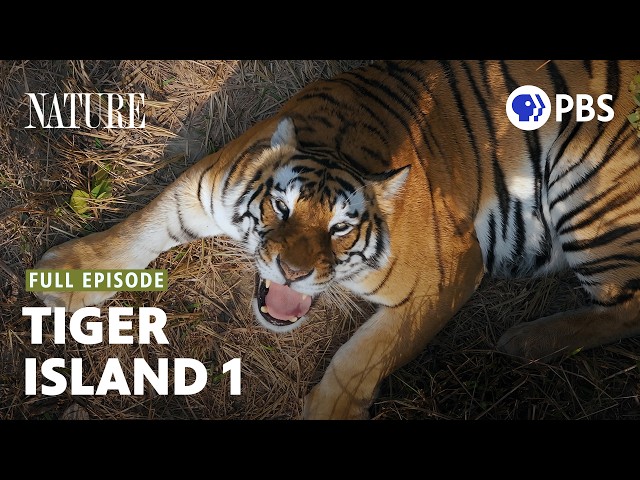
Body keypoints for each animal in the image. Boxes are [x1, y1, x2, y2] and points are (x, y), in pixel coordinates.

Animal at [34, 60, 640, 420]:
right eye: (280, 208)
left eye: (341, 229)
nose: (293, 273)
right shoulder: (199, 190)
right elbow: (137, 229)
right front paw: (67, 274)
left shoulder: (450, 272)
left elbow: (364, 353)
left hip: (587, 191)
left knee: (626, 308)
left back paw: (525, 341)